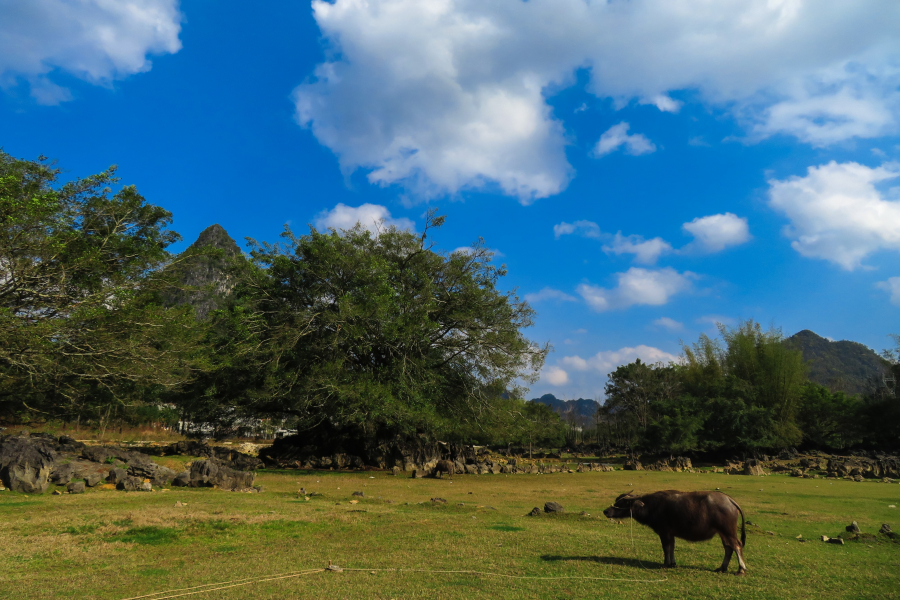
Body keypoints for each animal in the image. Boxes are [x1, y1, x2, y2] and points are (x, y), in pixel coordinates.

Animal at [604, 490, 744, 576]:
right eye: (617, 501)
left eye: (622, 502)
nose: (606, 511)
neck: (651, 507)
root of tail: (730, 500)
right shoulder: (670, 534)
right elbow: (672, 547)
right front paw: (672, 563)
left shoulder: (664, 532)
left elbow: (666, 548)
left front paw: (666, 564)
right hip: (722, 533)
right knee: (728, 548)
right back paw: (722, 568)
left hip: (728, 531)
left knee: (737, 545)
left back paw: (741, 569)